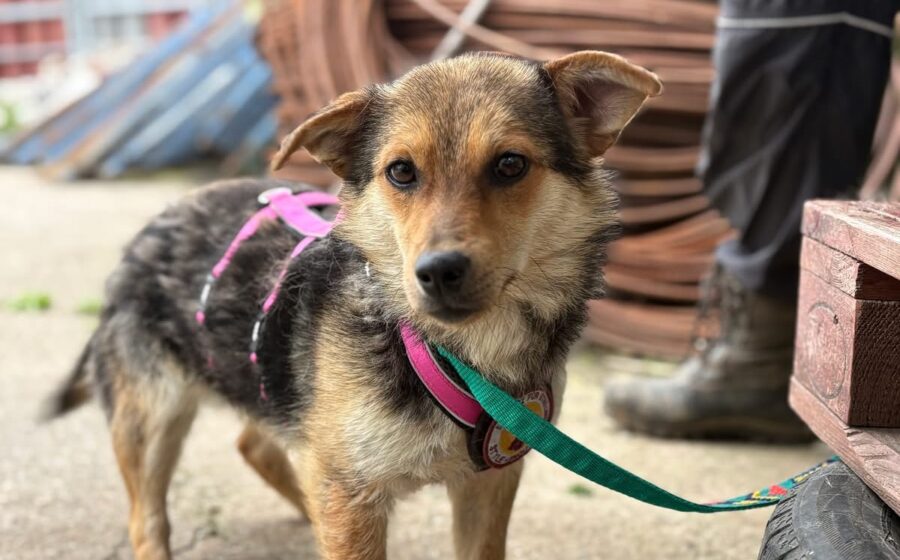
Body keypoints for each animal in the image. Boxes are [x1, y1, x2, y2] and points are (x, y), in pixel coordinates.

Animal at [46, 50, 661, 560]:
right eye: (401, 171)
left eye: (510, 164)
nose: (437, 272)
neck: (455, 354)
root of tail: (152, 226)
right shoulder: (352, 492)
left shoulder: (485, 482)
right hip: (151, 418)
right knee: (147, 519)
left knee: (258, 444)